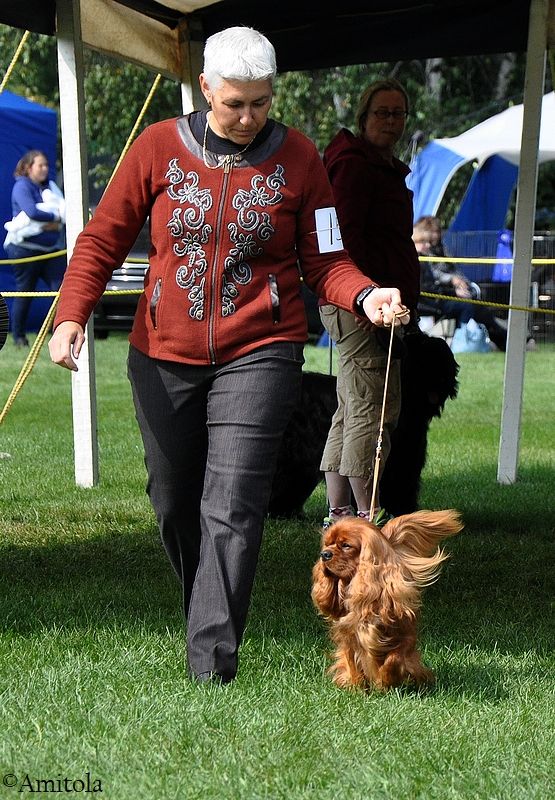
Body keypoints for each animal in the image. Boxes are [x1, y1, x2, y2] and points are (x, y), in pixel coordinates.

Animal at [268, 331, 459, 518]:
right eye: (419, 360)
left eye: (442, 358)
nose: (441, 379)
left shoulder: (407, 460)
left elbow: (403, 487)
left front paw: (404, 512)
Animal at [312, 510, 463, 690]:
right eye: (326, 544)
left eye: (346, 545)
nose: (324, 554)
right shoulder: (348, 636)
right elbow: (351, 662)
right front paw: (357, 688)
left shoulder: (404, 635)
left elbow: (395, 659)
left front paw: (385, 681)